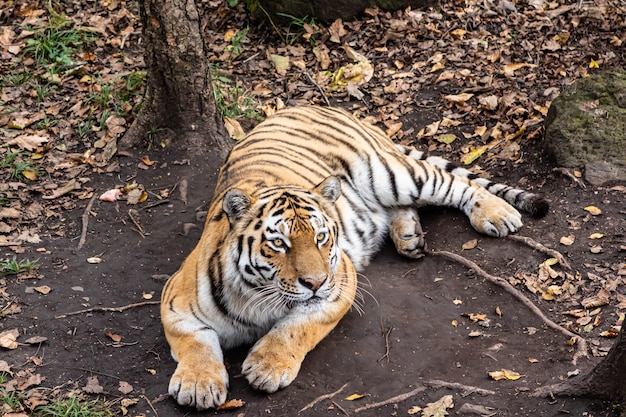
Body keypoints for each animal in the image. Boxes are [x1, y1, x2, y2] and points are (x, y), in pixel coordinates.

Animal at [160, 105, 544, 410]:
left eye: (321, 237)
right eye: (280, 243)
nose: (315, 282)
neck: (256, 297)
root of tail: (317, 104)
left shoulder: (338, 285)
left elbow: (295, 327)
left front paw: (266, 366)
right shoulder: (175, 303)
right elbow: (195, 342)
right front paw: (198, 385)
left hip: (393, 175)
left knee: (456, 183)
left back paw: (497, 214)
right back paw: (409, 237)